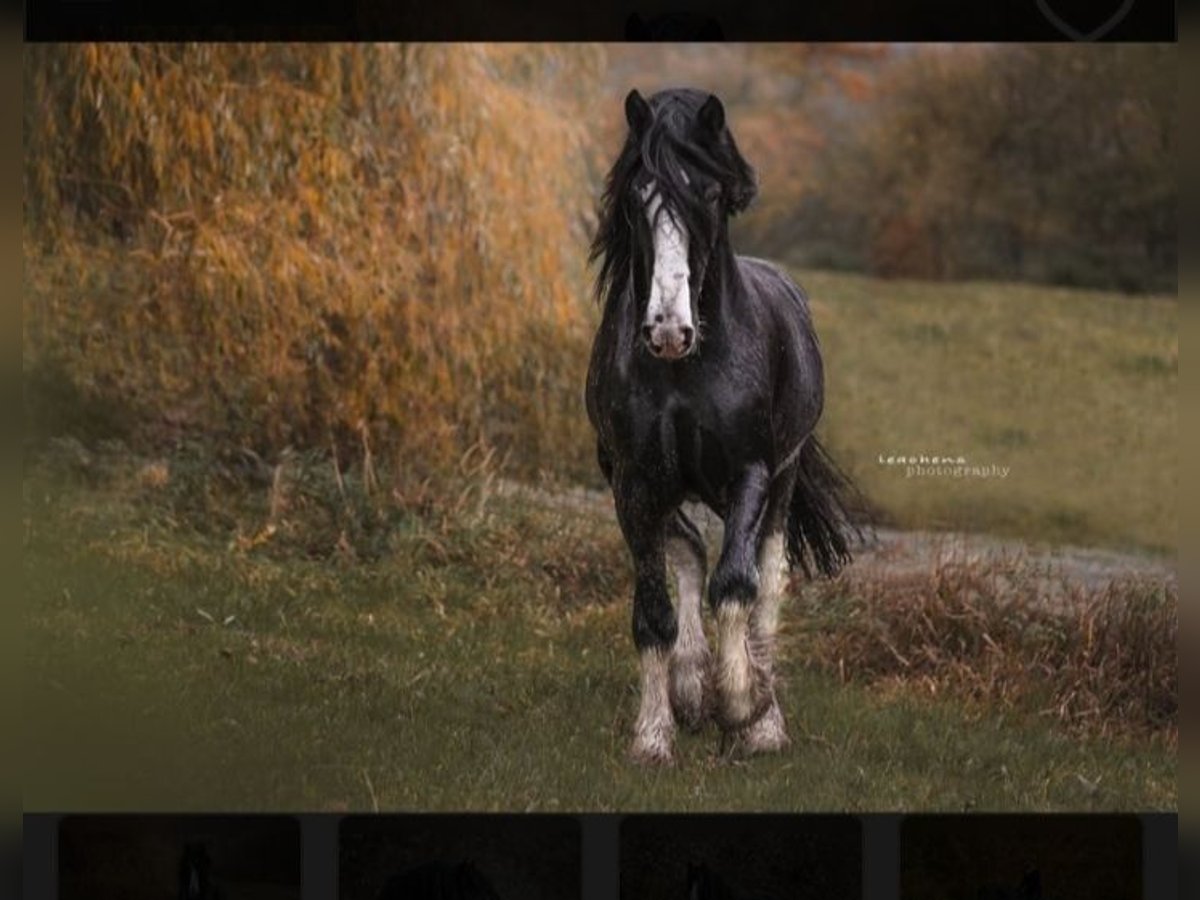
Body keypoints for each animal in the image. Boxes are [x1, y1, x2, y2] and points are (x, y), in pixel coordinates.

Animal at [585, 88, 859, 763]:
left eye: (707, 195)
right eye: (638, 196)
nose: (667, 329)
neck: (685, 371)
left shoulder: (750, 472)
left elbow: (738, 584)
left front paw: (744, 707)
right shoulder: (632, 480)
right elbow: (653, 611)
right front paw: (654, 735)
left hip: (782, 480)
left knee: (767, 579)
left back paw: (764, 719)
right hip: (658, 484)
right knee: (687, 546)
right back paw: (689, 686)